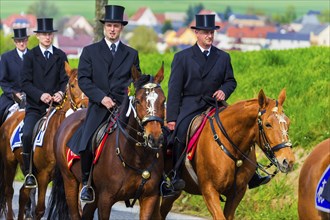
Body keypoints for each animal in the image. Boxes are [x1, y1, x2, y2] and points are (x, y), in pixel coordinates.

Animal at [0, 62, 87, 220]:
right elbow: (40, 209)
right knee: (9, 191)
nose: (85, 106)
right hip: (9, 163)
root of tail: (11, 118)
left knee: (23, 194)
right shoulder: (43, 175)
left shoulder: (70, 178)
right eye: (72, 85)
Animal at [46, 64, 165, 219]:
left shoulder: (149, 198)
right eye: (138, 101)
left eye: (163, 101)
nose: (155, 138)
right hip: (70, 182)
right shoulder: (105, 199)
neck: (136, 156)